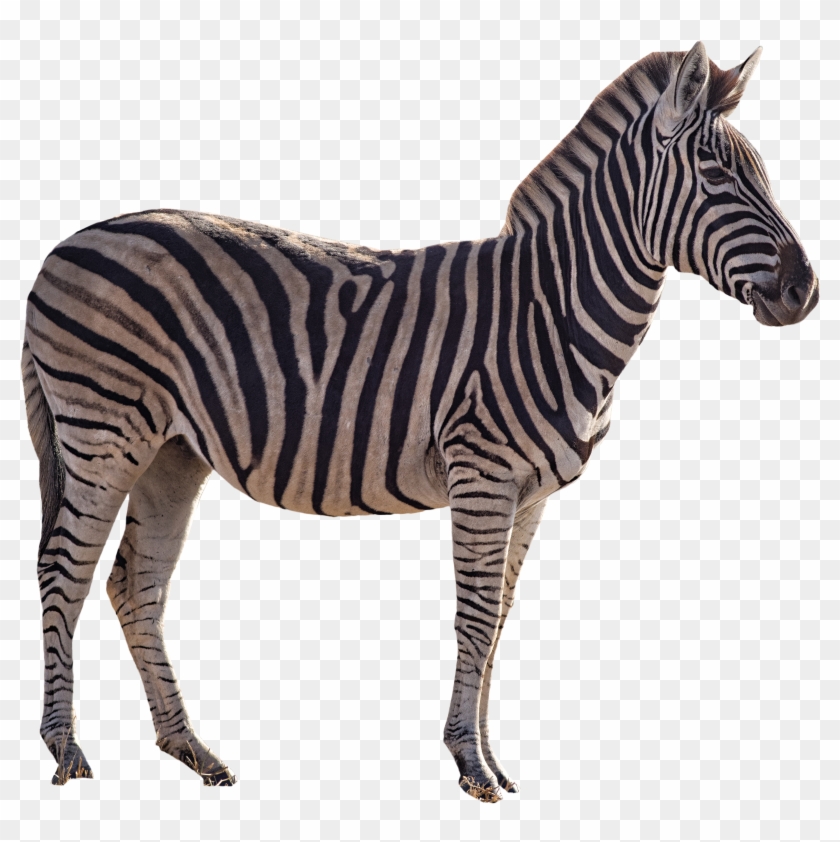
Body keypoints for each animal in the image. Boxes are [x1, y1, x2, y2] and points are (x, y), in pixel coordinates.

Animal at [22, 42, 818, 800]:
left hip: (170, 452)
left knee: (136, 584)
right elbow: (475, 615)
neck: (553, 309)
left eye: (763, 175)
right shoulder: (483, 474)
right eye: (717, 176)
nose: (805, 291)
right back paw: (65, 748)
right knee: (64, 569)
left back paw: (191, 749)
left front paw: (494, 760)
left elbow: (500, 618)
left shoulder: (531, 496)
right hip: (103, 433)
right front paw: (470, 764)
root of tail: (61, 247)